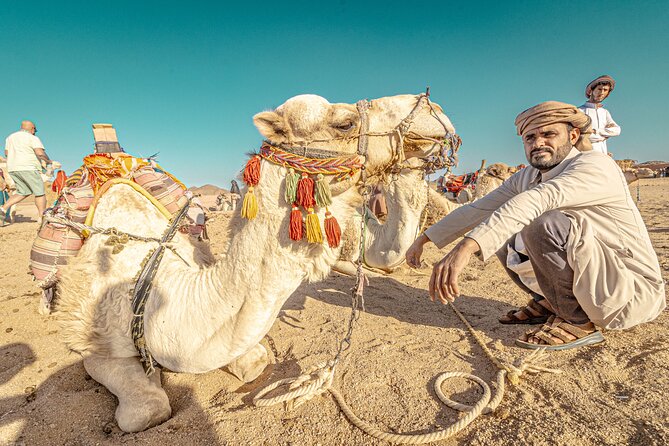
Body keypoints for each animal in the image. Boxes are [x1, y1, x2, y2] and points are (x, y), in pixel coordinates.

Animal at [54, 93, 457, 432]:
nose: (432, 107)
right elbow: (147, 411)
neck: (152, 288)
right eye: (345, 123)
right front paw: (152, 378)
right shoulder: (92, 341)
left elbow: (256, 361)